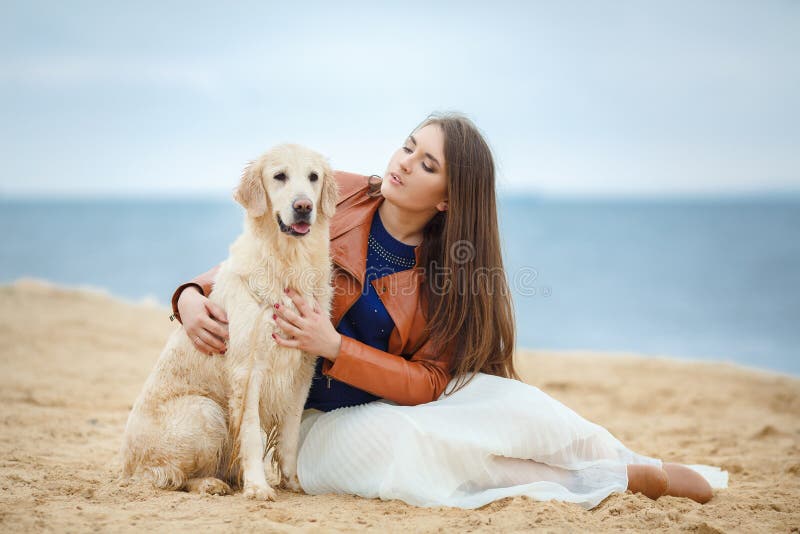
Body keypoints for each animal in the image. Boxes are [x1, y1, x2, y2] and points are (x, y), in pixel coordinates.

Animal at [120, 143, 340, 502]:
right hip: (205, 411)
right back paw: (210, 483)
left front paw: (293, 481)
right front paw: (258, 486)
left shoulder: (302, 369)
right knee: (165, 476)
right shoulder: (248, 369)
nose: (304, 206)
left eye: (313, 177)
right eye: (279, 176)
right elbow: (249, 434)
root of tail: (125, 465)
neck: (287, 262)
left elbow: (291, 434)